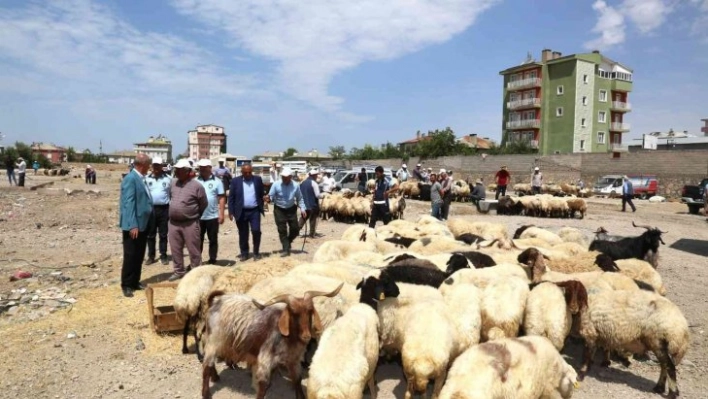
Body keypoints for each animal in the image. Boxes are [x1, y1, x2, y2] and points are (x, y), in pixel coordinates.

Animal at [201, 284, 344, 399]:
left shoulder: (294, 360)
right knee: (206, 365)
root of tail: (214, 303)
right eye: (293, 313)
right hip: (214, 340)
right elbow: (263, 385)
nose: (306, 336)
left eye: (309, 311)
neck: (288, 339)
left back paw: (216, 377)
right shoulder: (265, 359)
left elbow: (297, 380)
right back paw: (206, 393)